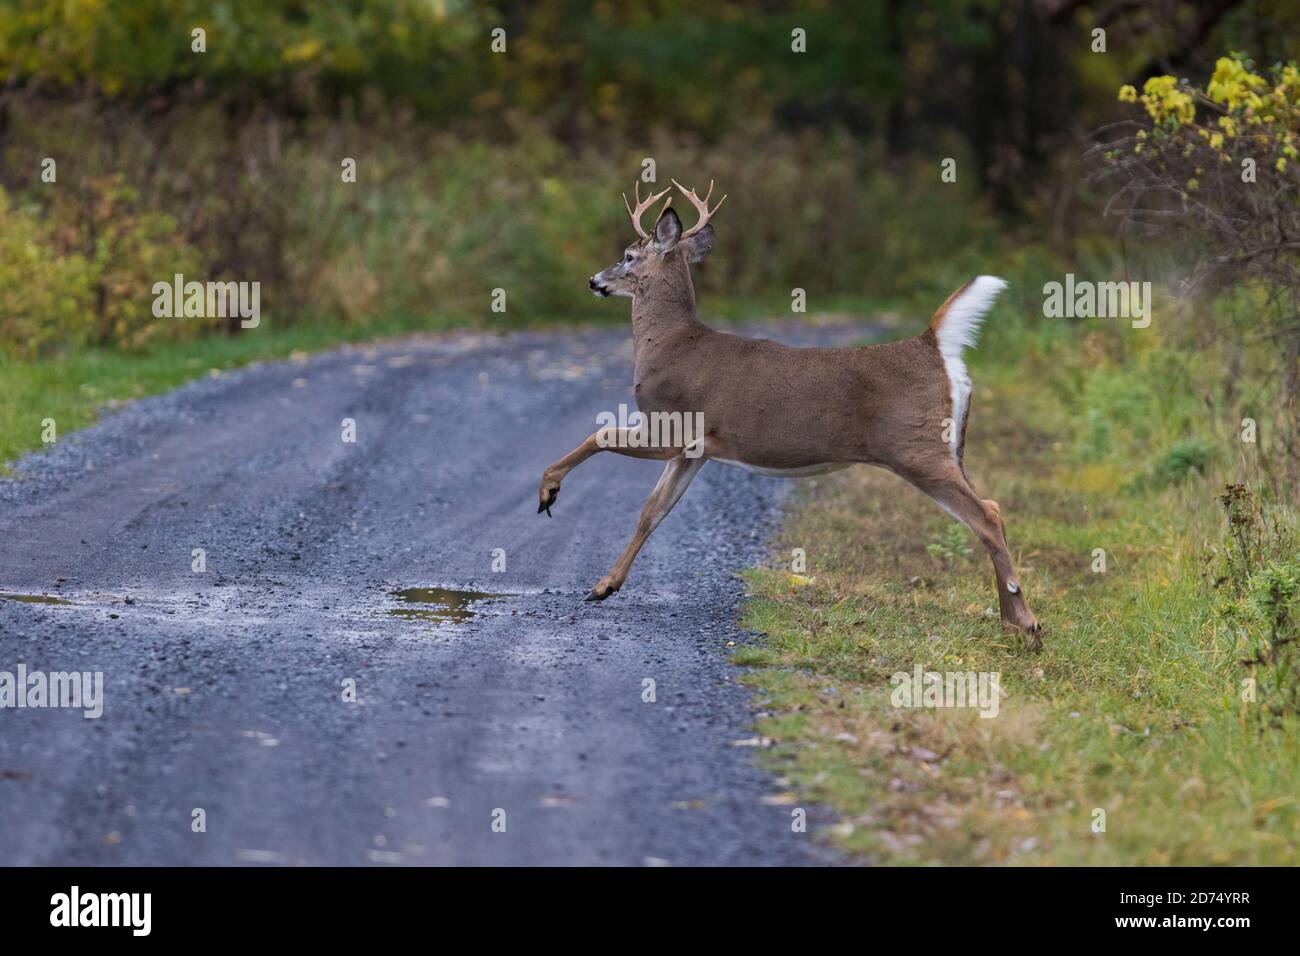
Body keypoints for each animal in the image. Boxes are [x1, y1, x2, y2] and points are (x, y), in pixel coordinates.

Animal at [533, 179, 1040, 650]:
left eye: (628, 255)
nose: (594, 281)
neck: (670, 345)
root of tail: (932, 344)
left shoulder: (672, 423)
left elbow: (599, 437)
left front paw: (548, 492)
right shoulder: (696, 450)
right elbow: (651, 512)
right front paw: (603, 586)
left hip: (916, 447)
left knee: (985, 517)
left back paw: (1028, 623)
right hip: (951, 448)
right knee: (993, 509)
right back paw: (1010, 621)